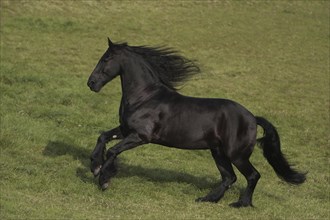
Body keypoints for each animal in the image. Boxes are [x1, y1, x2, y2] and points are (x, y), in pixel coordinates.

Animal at [86, 38, 306, 208]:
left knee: (252, 175)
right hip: (218, 152)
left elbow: (112, 150)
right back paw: (207, 199)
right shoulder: (125, 130)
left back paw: (240, 204)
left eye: (106, 59)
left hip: (237, 155)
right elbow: (103, 136)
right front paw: (95, 166)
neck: (145, 97)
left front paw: (104, 179)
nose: (91, 83)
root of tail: (252, 117)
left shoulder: (140, 136)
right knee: (229, 177)